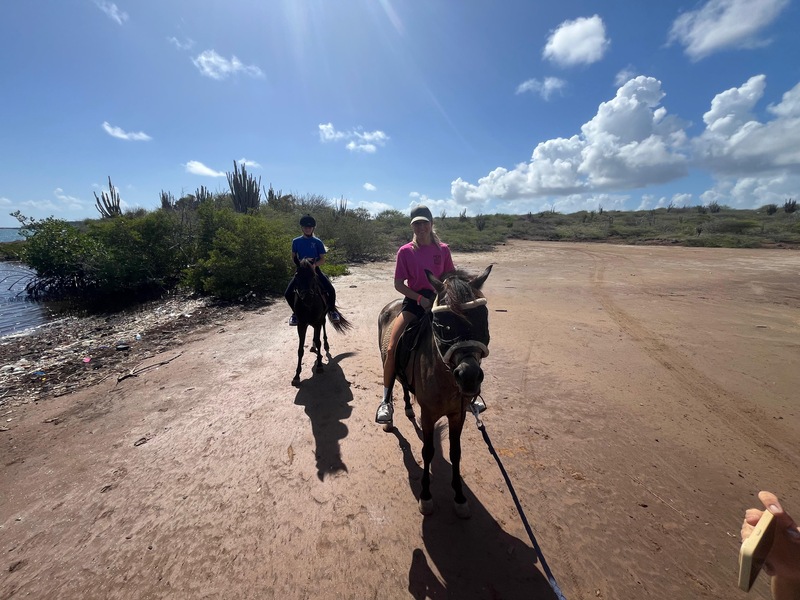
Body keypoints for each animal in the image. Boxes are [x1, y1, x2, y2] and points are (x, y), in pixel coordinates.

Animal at [378, 265, 492, 517]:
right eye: (443, 326)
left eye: (483, 319)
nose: (469, 376)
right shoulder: (429, 415)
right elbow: (428, 452)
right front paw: (426, 496)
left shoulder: (457, 415)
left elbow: (455, 452)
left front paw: (459, 497)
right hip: (387, 357)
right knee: (391, 380)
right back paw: (388, 415)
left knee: (403, 385)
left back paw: (408, 409)